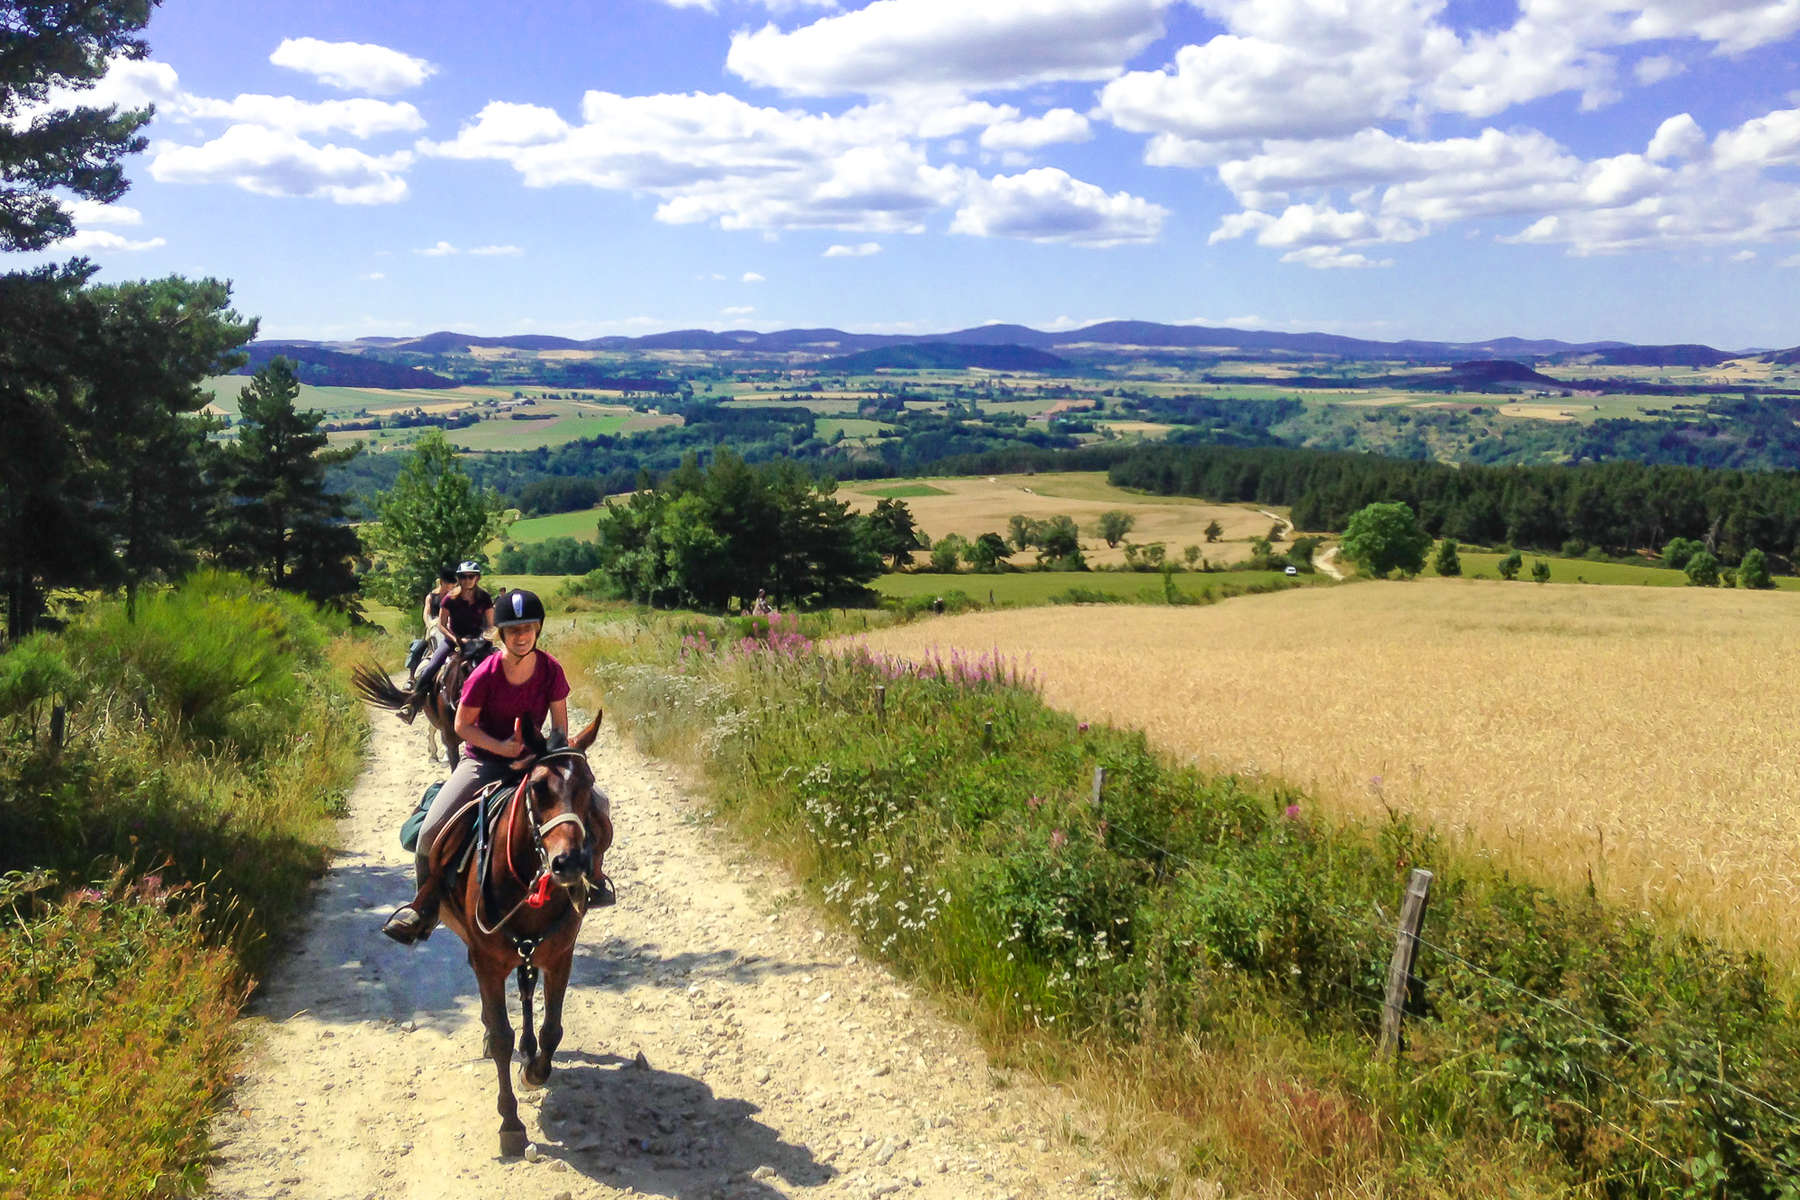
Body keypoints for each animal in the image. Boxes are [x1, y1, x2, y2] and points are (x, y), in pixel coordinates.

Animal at [428, 708, 612, 1158]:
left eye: (589, 784)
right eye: (539, 787)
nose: (569, 862)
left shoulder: (560, 956)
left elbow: (552, 1028)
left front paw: (535, 1071)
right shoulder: (489, 963)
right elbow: (500, 1038)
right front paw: (510, 1124)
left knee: (527, 995)